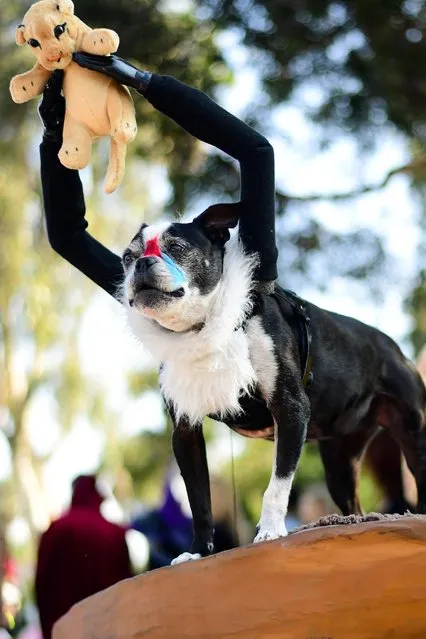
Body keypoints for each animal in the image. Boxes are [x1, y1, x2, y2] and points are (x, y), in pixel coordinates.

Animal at [119, 204, 426, 564]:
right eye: (127, 257)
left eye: (178, 248)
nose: (141, 263)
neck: (202, 330)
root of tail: (393, 347)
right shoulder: (185, 432)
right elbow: (199, 501)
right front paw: (197, 552)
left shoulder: (289, 407)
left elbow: (277, 485)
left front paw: (269, 531)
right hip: (340, 464)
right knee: (353, 503)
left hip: (415, 435)